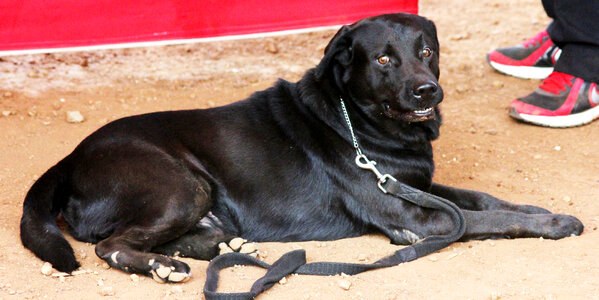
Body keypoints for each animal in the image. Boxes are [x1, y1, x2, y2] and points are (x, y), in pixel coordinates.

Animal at [21, 12, 584, 282]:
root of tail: (68, 159)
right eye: (383, 60)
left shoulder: (418, 187)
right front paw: (557, 223)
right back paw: (164, 267)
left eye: (427, 52)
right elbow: (487, 218)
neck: (358, 120)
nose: (428, 91)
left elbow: (485, 201)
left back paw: (225, 247)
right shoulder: (411, 216)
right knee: (110, 244)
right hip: (182, 185)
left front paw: (537, 209)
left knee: (177, 237)